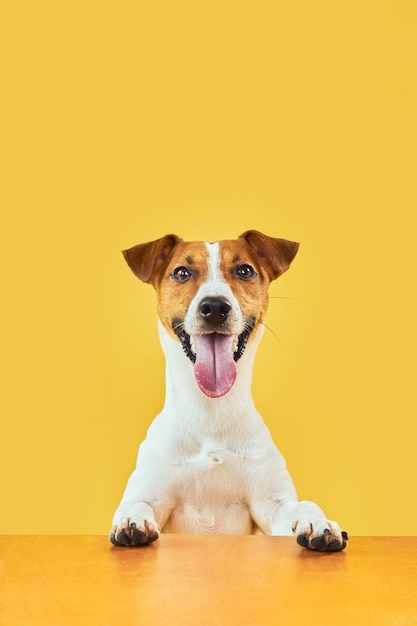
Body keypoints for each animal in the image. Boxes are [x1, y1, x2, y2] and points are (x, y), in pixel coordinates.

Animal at [109, 229, 346, 552]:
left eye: (244, 270)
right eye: (182, 272)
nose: (215, 307)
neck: (211, 410)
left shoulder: (271, 504)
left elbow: (303, 505)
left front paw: (318, 523)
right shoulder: (151, 491)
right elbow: (137, 504)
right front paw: (132, 520)